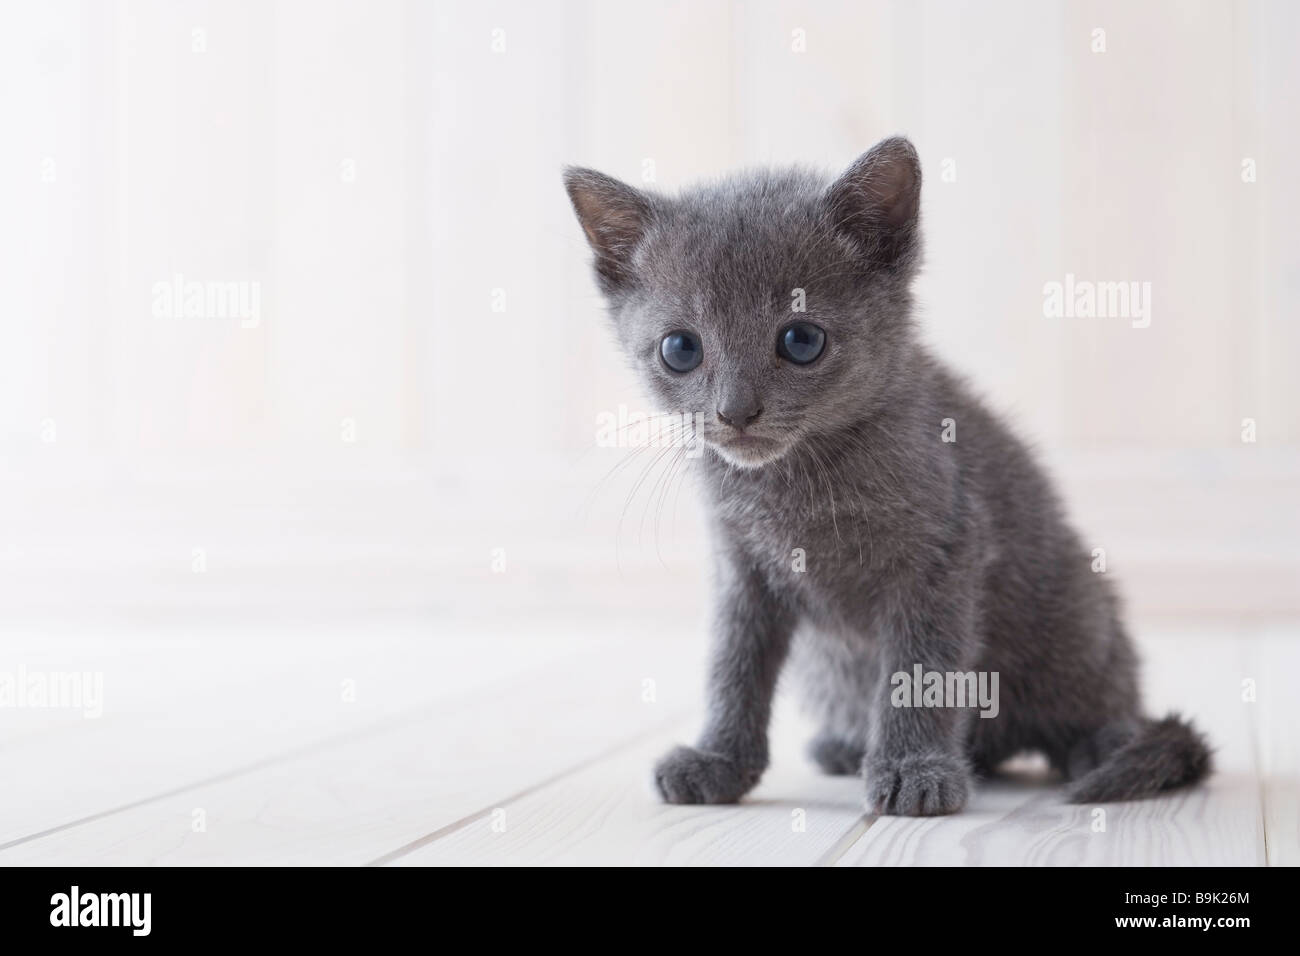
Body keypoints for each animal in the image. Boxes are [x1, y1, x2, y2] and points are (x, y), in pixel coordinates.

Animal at [564, 138, 1211, 816]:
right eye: (680, 349)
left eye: (801, 339)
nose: (735, 412)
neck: (793, 484)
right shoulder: (739, 568)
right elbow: (732, 666)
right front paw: (719, 760)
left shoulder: (943, 554)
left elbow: (918, 670)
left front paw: (913, 769)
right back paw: (848, 746)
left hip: (1075, 614)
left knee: (1104, 701)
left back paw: (1104, 745)